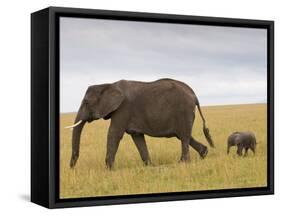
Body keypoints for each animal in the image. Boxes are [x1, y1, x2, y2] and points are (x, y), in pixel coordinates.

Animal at [65, 78, 213, 170]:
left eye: (86, 102)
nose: (71, 168)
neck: (108, 84)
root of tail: (194, 95)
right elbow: (137, 137)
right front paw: (149, 166)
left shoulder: (123, 109)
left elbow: (114, 134)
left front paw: (108, 170)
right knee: (184, 136)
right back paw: (203, 153)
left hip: (184, 111)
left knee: (184, 137)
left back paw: (183, 163)